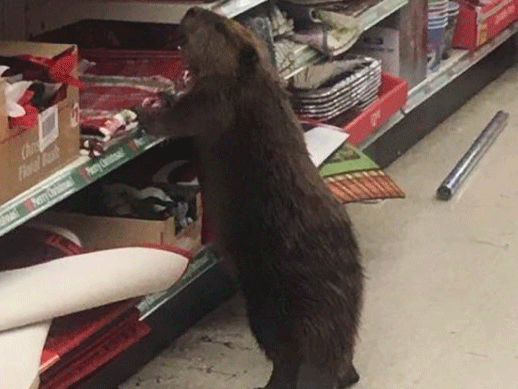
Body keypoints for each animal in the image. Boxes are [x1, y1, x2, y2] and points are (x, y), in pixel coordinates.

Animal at [138, 6, 366, 388]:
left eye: (218, 24)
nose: (189, 11)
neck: (253, 81)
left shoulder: (217, 99)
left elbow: (181, 119)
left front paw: (148, 113)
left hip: (269, 309)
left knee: (286, 356)